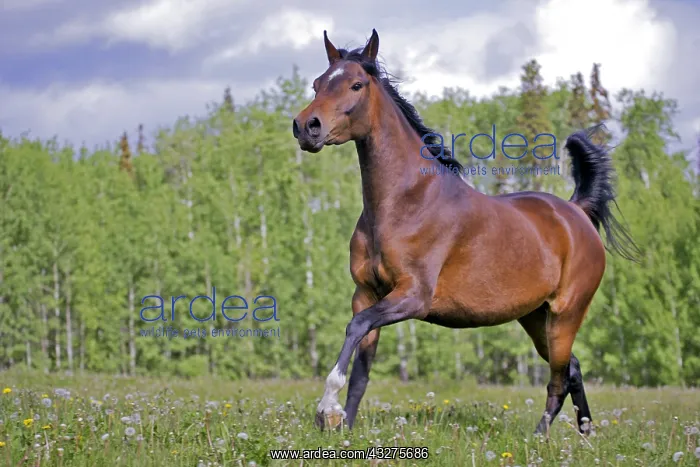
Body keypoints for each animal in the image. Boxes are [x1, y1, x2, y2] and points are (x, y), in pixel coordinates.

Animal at [292, 28, 640, 435]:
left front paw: (326, 408)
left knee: (558, 378)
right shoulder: (365, 294)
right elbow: (361, 367)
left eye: (356, 84)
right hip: (535, 317)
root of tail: (576, 212)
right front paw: (344, 428)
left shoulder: (412, 297)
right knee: (572, 368)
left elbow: (354, 329)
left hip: (566, 314)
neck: (405, 204)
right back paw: (585, 433)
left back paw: (540, 437)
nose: (306, 127)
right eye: (317, 84)